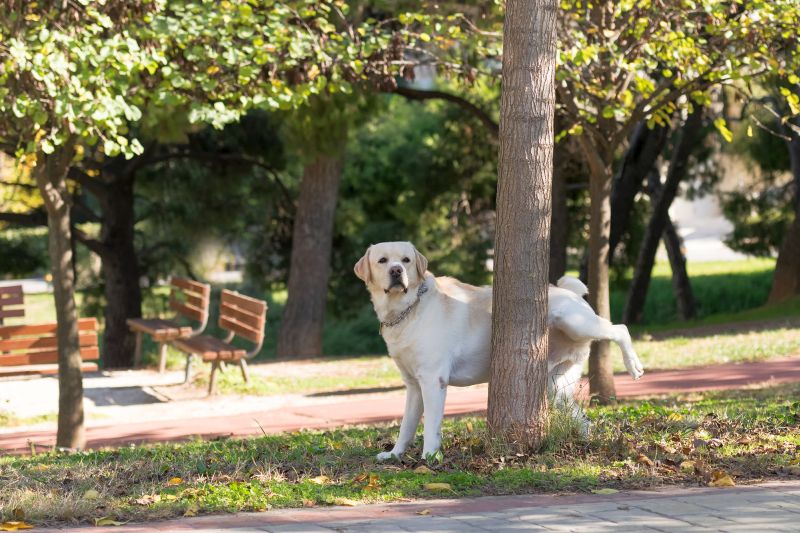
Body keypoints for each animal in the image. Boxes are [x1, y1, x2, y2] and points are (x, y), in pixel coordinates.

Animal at [356, 239, 644, 460]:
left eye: (405, 260)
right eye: (383, 260)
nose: (396, 271)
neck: (408, 309)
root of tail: (568, 290)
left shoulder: (432, 381)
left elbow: (430, 426)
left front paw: (429, 456)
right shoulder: (414, 386)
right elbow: (406, 426)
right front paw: (395, 454)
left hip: (575, 322)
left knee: (620, 329)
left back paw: (634, 365)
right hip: (556, 385)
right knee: (582, 418)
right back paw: (584, 444)